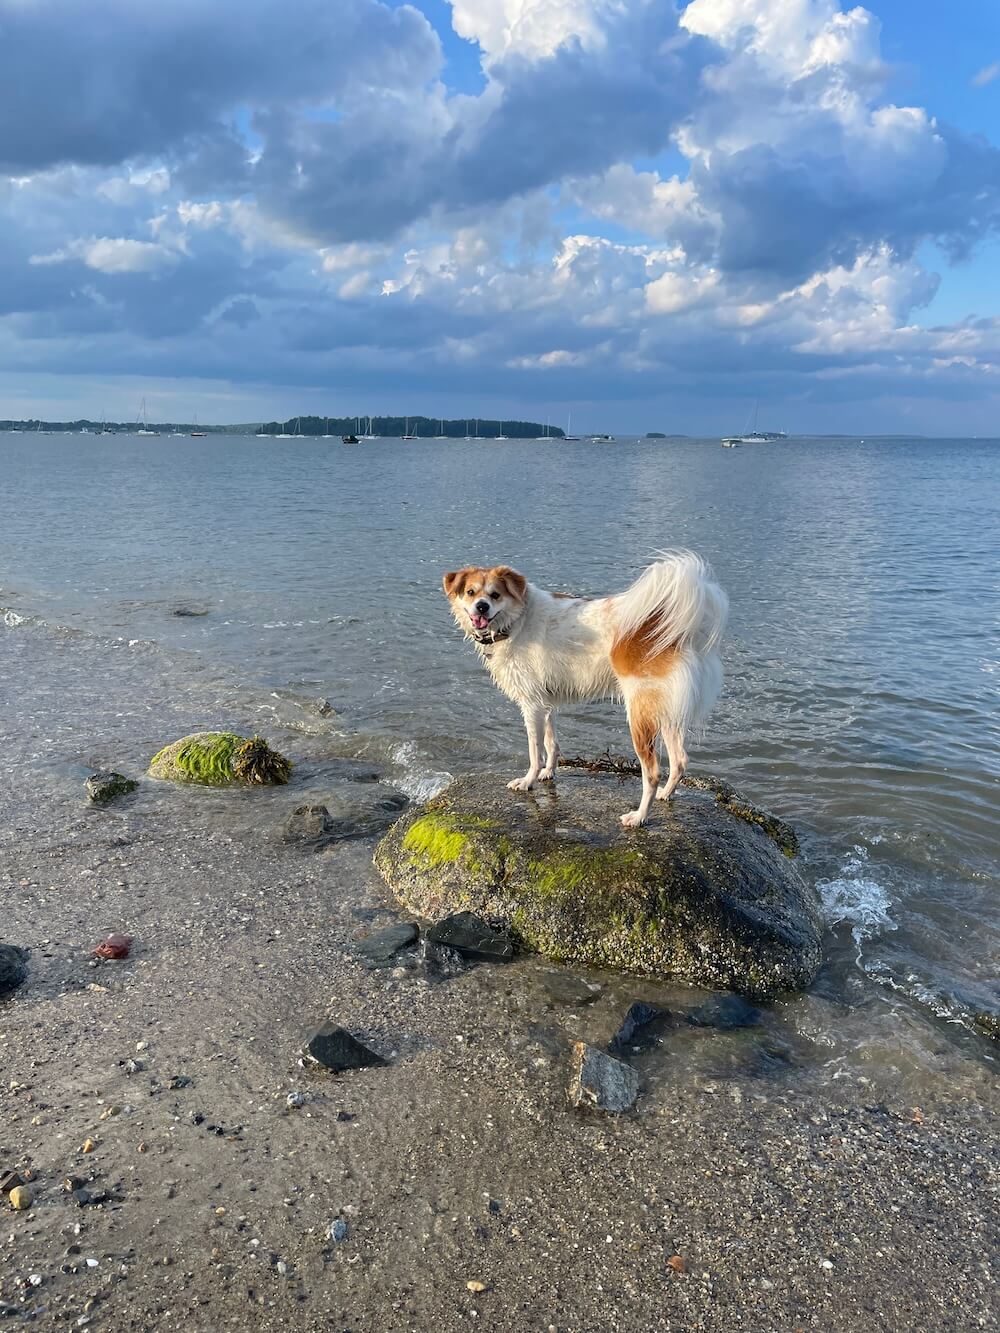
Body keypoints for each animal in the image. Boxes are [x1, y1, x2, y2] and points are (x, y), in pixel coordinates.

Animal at [445, 549, 730, 821]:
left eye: (495, 595)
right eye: (470, 592)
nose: (481, 607)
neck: (517, 620)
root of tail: (678, 633)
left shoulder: (531, 705)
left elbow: (535, 751)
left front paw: (528, 781)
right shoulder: (545, 702)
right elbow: (551, 743)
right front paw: (548, 772)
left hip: (640, 717)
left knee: (652, 772)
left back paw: (639, 817)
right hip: (666, 712)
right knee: (680, 761)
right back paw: (665, 795)